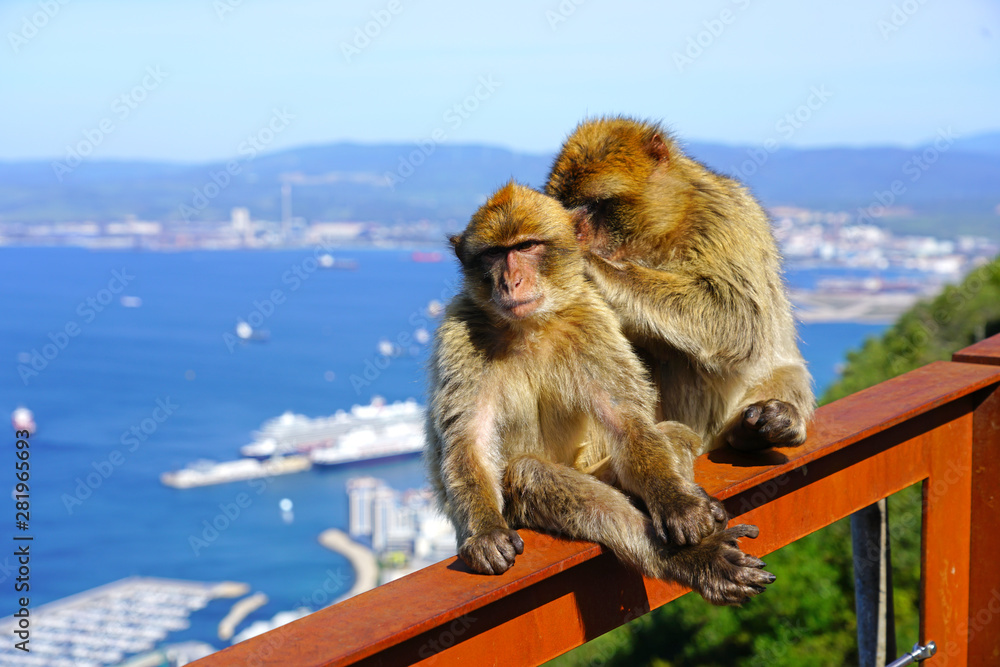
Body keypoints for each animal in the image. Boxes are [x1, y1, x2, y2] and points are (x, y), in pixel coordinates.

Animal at [424, 182, 775, 605]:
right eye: (494, 253)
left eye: (527, 246)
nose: (510, 282)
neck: (530, 328)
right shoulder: (460, 332)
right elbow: (469, 442)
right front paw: (485, 532)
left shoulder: (591, 321)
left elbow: (628, 423)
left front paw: (679, 505)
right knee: (532, 475)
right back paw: (694, 560)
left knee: (670, 437)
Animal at [545, 117, 815, 453]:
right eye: (568, 206)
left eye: (595, 204)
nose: (574, 231)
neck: (663, 233)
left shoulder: (723, 219)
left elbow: (737, 320)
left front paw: (590, 265)